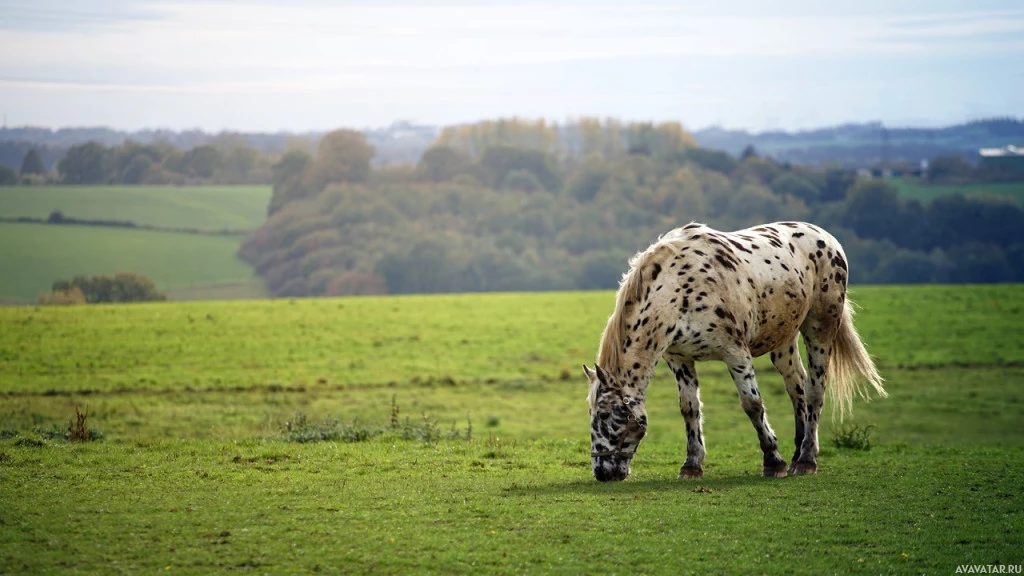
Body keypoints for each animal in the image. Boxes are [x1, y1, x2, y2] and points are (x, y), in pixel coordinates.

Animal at [585, 219, 888, 479]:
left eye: (605, 415)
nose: (602, 472)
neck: (679, 290)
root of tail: (828, 239)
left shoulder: (735, 352)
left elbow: (752, 404)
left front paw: (773, 461)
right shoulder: (679, 359)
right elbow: (689, 408)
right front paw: (691, 465)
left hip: (819, 330)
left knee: (815, 390)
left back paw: (806, 460)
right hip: (784, 340)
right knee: (797, 386)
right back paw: (797, 451)